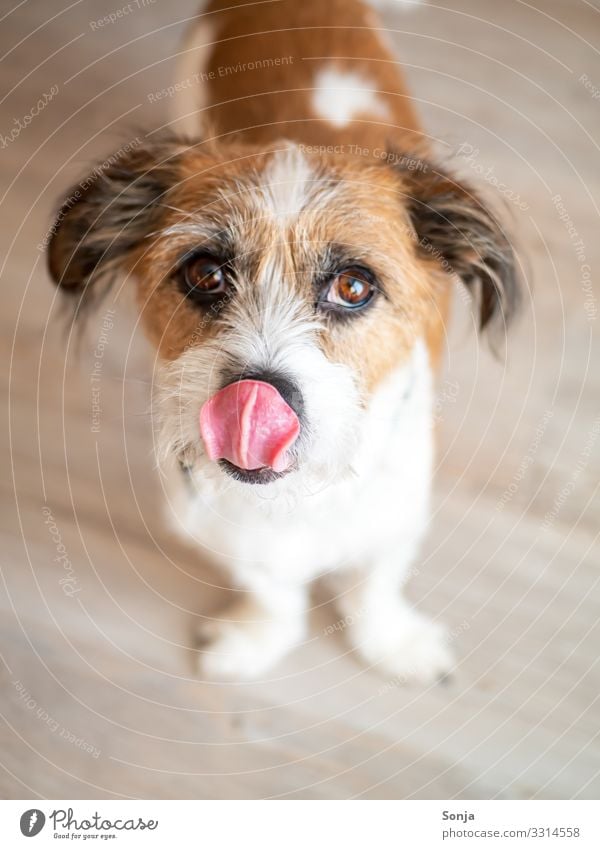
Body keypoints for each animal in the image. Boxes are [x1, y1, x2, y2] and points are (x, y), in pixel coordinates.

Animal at [47, 0, 516, 680]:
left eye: (353, 286)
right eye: (205, 274)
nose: (259, 399)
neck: (297, 498)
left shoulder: (395, 515)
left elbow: (376, 585)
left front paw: (394, 644)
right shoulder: (224, 527)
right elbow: (272, 589)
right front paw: (257, 640)